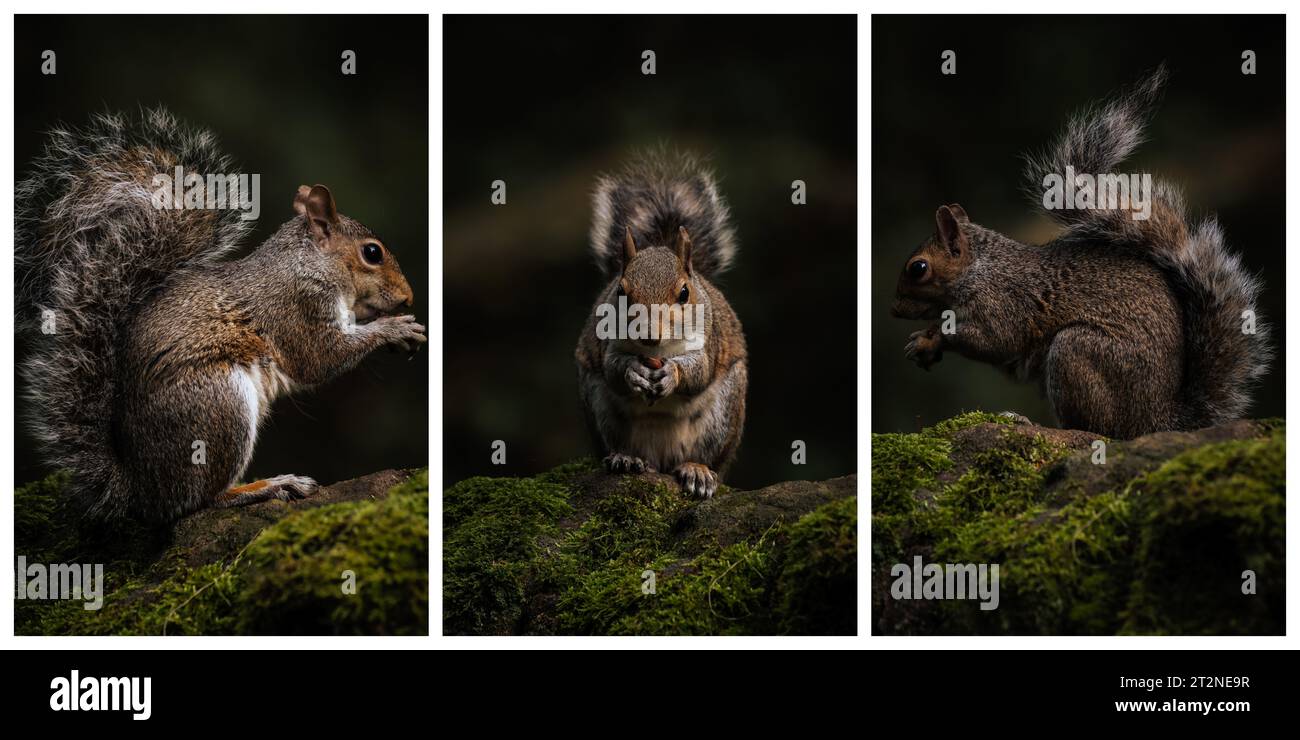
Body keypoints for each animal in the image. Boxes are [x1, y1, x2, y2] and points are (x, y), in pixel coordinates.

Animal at [16, 108, 427, 525]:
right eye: (372, 253)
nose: (409, 296)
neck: (308, 265)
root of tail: (142, 490)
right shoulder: (297, 308)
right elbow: (319, 358)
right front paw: (394, 328)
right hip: (218, 403)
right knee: (201, 499)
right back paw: (266, 486)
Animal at [575, 153, 748, 498]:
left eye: (684, 293)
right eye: (621, 291)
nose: (649, 334)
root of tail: (661, 461)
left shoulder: (707, 340)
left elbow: (699, 370)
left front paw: (673, 373)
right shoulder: (607, 342)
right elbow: (613, 368)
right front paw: (633, 370)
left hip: (724, 413)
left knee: (706, 457)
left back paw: (698, 471)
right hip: (600, 408)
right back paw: (626, 458)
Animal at [891, 66, 1271, 439]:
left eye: (918, 268)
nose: (894, 310)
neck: (981, 269)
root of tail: (1158, 421)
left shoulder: (1004, 304)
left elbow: (994, 340)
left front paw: (929, 339)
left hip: (1076, 353)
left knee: (1096, 430)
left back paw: (1028, 422)